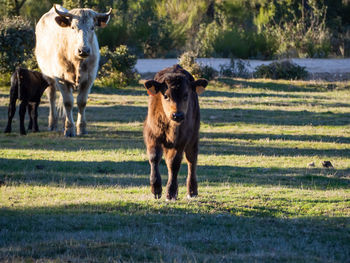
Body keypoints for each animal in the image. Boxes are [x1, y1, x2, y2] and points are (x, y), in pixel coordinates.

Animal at [34, 5, 111, 137]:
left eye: (92, 27)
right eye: (73, 27)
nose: (83, 50)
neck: (77, 61)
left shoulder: (89, 79)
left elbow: (81, 102)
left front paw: (81, 128)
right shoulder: (60, 78)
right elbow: (68, 102)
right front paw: (69, 129)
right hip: (49, 77)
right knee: (52, 97)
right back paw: (52, 123)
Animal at [143, 64, 208, 200]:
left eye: (186, 95)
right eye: (166, 96)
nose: (177, 115)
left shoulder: (182, 140)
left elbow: (174, 163)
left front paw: (171, 192)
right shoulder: (152, 135)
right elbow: (154, 158)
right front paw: (156, 189)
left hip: (193, 137)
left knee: (191, 159)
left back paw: (192, 191)